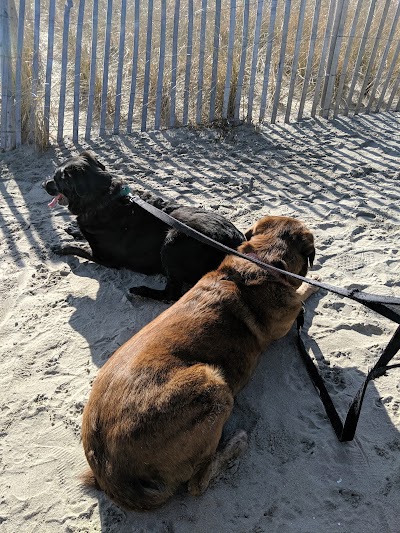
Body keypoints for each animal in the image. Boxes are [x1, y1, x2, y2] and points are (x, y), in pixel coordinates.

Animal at [42, 150, 245, 300]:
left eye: (56, 178)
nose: (44, 184)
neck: (103, 198)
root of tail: (237, 242)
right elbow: (82, 236)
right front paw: (73, 230)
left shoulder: (105, 258)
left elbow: (80, 247)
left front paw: (61, 246)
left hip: (173, 242)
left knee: (171, 295)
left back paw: (142, 291)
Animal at [81, 214, 318, 510]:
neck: (262, 261)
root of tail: (112, 476)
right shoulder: (288, 318)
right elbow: (302, 297)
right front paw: (312, 287)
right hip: (214, 388)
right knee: (198, 483)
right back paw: (235, 445)